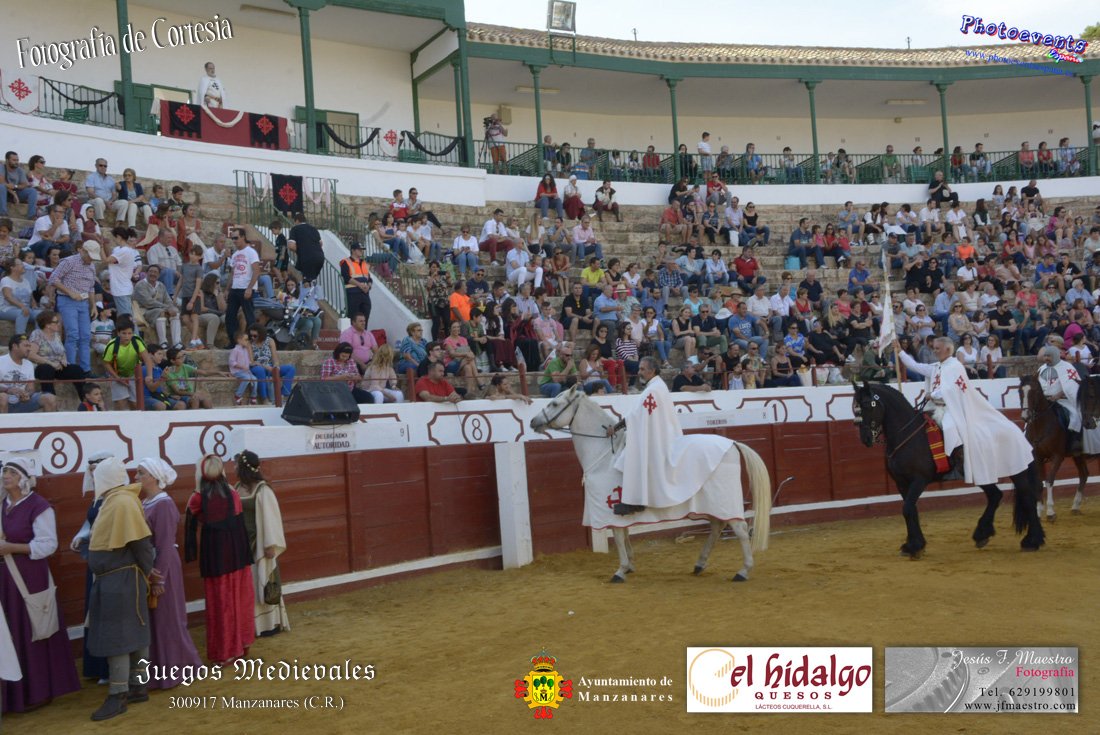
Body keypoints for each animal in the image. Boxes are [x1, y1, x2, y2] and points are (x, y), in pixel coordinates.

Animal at [529, 384, 772, 583]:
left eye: (554, 403)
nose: (533, 421)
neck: (604, 455)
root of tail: (731, 443)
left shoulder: (610, 509)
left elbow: (619, 537)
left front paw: (620, 570)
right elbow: (626, 535)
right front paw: (629, 565)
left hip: (724, 501)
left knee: (740, 529)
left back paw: (743, 571)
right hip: (712, 503)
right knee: (717, 527)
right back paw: (699, 564)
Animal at [851, 381, 1045, 558]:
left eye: (868, 405)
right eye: (855, 408)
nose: (865, 438)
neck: (907, 434)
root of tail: (1016, 428)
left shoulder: (919, 480)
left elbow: (907, 509)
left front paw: (914, 547)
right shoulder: (901, 483)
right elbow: (911, 510)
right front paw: (914, 544)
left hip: (1017, 472)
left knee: (1027, 497)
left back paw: (1032, 541)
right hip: (981, 474)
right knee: (995, 495)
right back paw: (982, 534)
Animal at [1018, 374, 1088, 518]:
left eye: (1035, 391)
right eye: (1019, 391)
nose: (1026, 416)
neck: (1040, 426)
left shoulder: (1057, 456)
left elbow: (1049, 480)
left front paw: (1050, 511)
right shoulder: (1037, 457)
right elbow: (1039, 482)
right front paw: (1039, 511)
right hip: (1078, 455)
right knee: (1084, 474)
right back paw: (1075, 506)